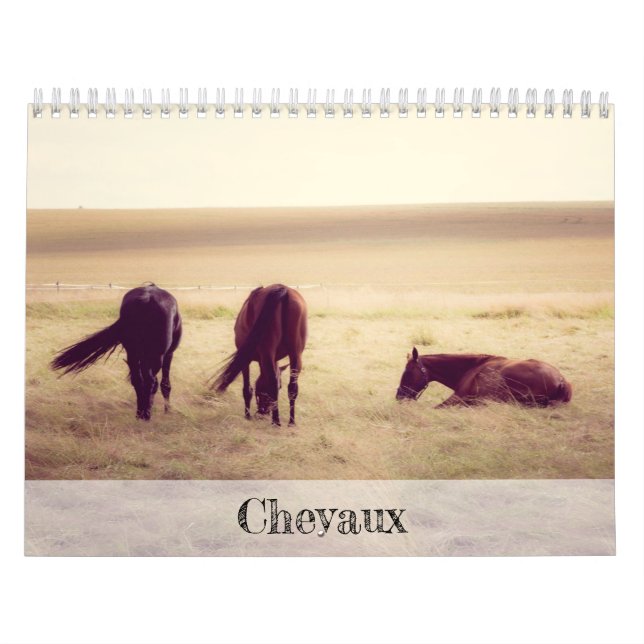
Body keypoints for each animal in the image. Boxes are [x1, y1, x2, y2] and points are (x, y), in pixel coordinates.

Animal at [50, 284, 182, 420]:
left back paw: (140, 414)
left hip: (133, 353)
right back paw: (146, 415)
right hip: (156, 356)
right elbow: (165, 384)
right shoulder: (168, 354)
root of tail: (146, 298)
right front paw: (167, 411)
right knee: (150, 381)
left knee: (138, 380)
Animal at [213, 284, 307, 427]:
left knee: (272, 382)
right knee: (293, 388)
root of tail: (282, 289)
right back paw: (291, 422)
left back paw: (276, 422)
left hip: (268, 353)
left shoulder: (245, 360)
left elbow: (247, 389)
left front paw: (247, 416)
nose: (263, 412)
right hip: (296, 355)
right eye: (280, 386)